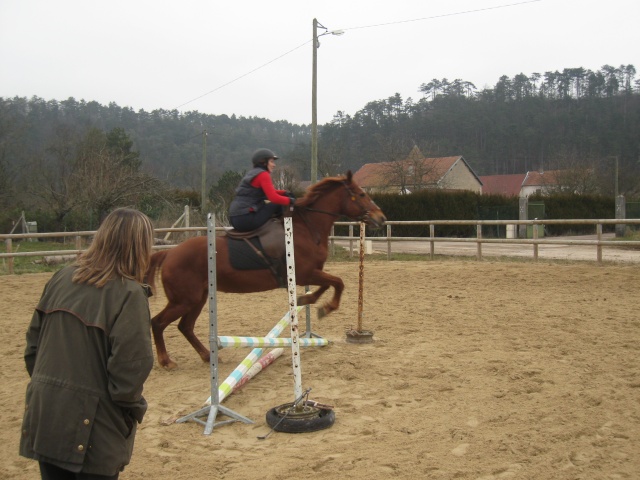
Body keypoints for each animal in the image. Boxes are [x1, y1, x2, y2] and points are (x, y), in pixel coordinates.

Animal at [146, 171, 384, 370]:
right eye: (362, 194)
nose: (380, 217)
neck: (306, 228)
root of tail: (169, 253)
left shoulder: (309, 274)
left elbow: (329, 284)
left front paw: (307, 301)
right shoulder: (305, 273)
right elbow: (337, 282)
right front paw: (324, 307)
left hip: (199, 298)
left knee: (185, 326)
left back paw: (207, 356)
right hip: (184, 300)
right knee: (157, 323)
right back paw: (166, 361)